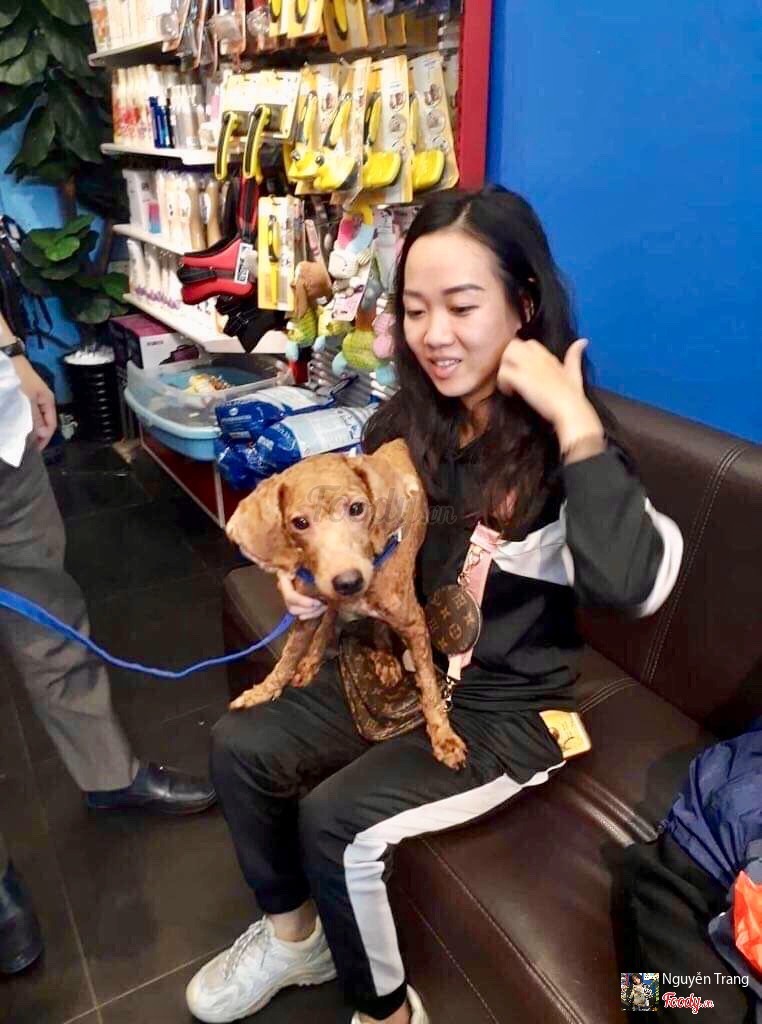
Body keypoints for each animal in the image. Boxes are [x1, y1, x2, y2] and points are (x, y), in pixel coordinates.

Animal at [225, 438, 467, 770]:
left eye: (356, 509)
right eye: (300, 523)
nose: (349, 581)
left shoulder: (415, 624)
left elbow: (430, 687)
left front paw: (443, 737)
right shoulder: (308, 610)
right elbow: (287, 657)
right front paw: (263, 690)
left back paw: (385, 657)